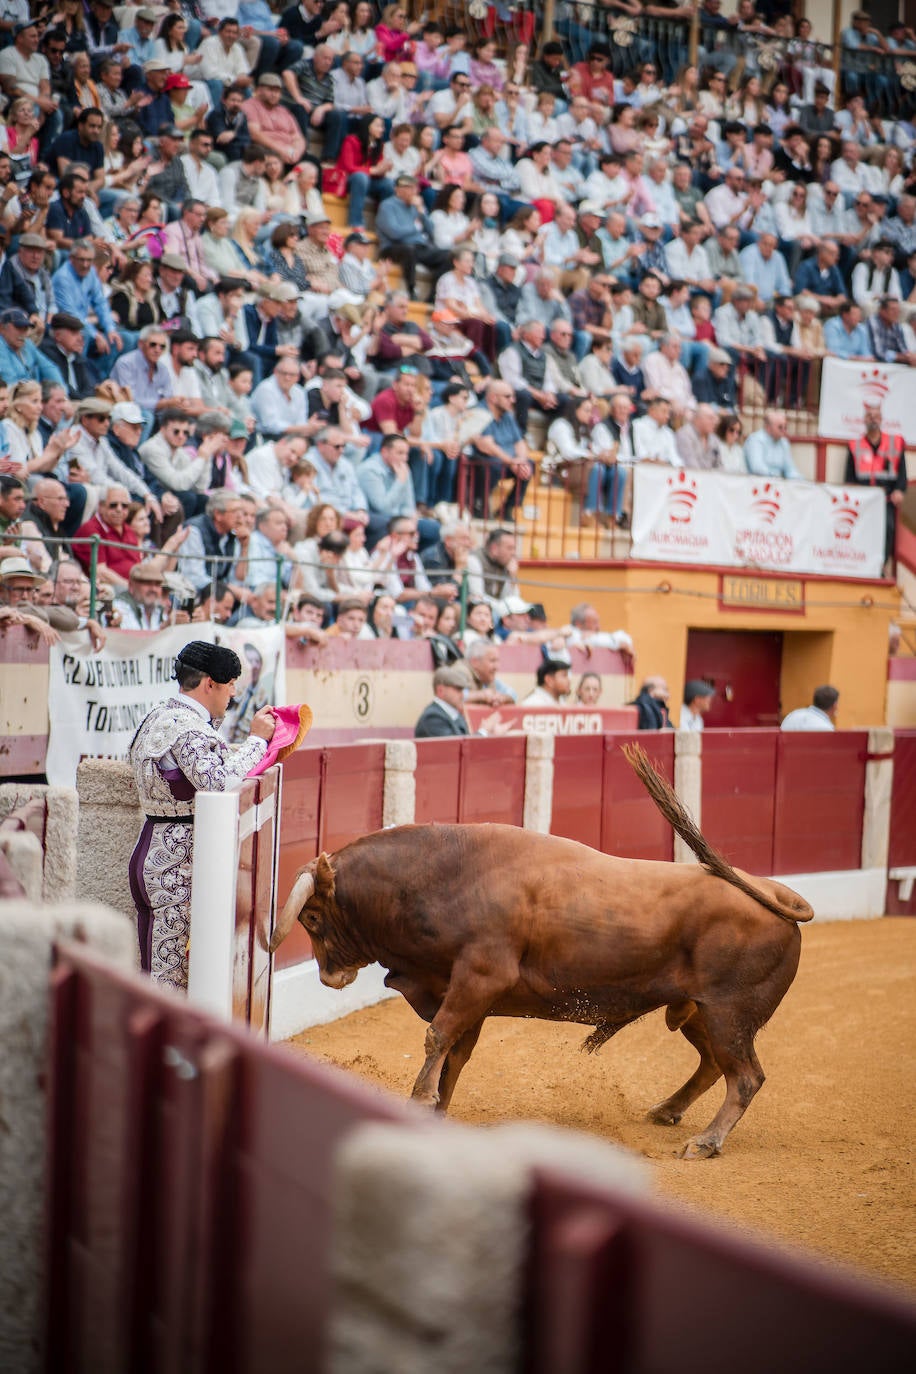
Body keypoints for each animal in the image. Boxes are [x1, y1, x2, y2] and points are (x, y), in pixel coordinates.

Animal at [269, 747, 813, 1154]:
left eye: (312, 918)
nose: (329, 977)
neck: (441, 875)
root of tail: (773, 892)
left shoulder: (478, 978)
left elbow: (438, 1037)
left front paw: (420, 1103)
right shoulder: (469, 992)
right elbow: (456, 1051)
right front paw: (438, 1110)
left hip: (729, 1012)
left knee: (745, 1076)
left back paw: (706, 1141)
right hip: (696, 1010)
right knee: (714, 1065)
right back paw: (667, 1111)